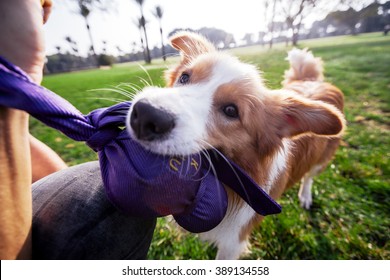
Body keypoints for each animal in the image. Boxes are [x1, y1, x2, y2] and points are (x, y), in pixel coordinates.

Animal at [127, 31, 344, 260]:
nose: (146, 115)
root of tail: (310, 81)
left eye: (231, 110)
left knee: (309, 176)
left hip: (321, 160)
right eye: (184, 77)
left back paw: (305, 195)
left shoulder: (234, 241)